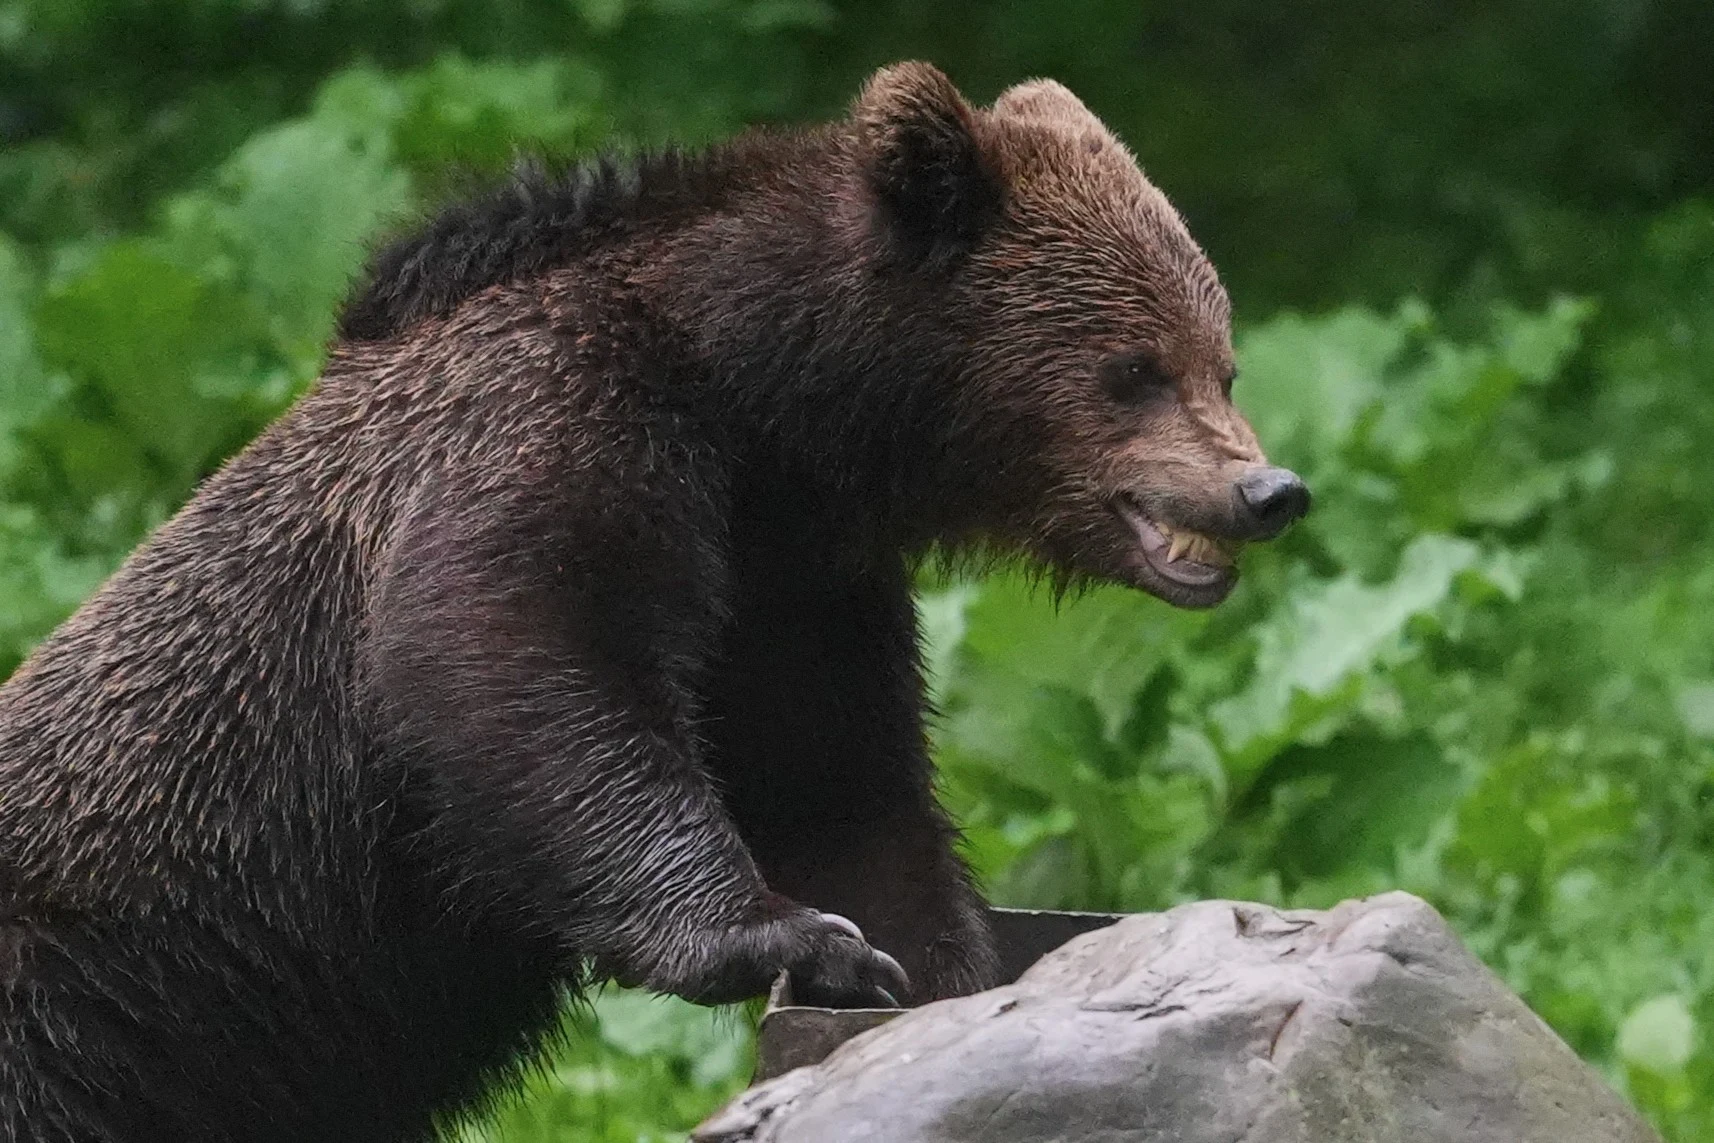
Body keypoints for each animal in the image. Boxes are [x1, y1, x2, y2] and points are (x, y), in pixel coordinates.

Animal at [0, 62, 1308, 1142]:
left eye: (1222, 357)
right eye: (1134, 369)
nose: (1267, 490)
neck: (755, 397)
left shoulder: (791, 582)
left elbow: (836, 778)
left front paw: (927, 962)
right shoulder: (560, 430)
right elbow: (524, 665)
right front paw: (790, 937)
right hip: (91, 1010)